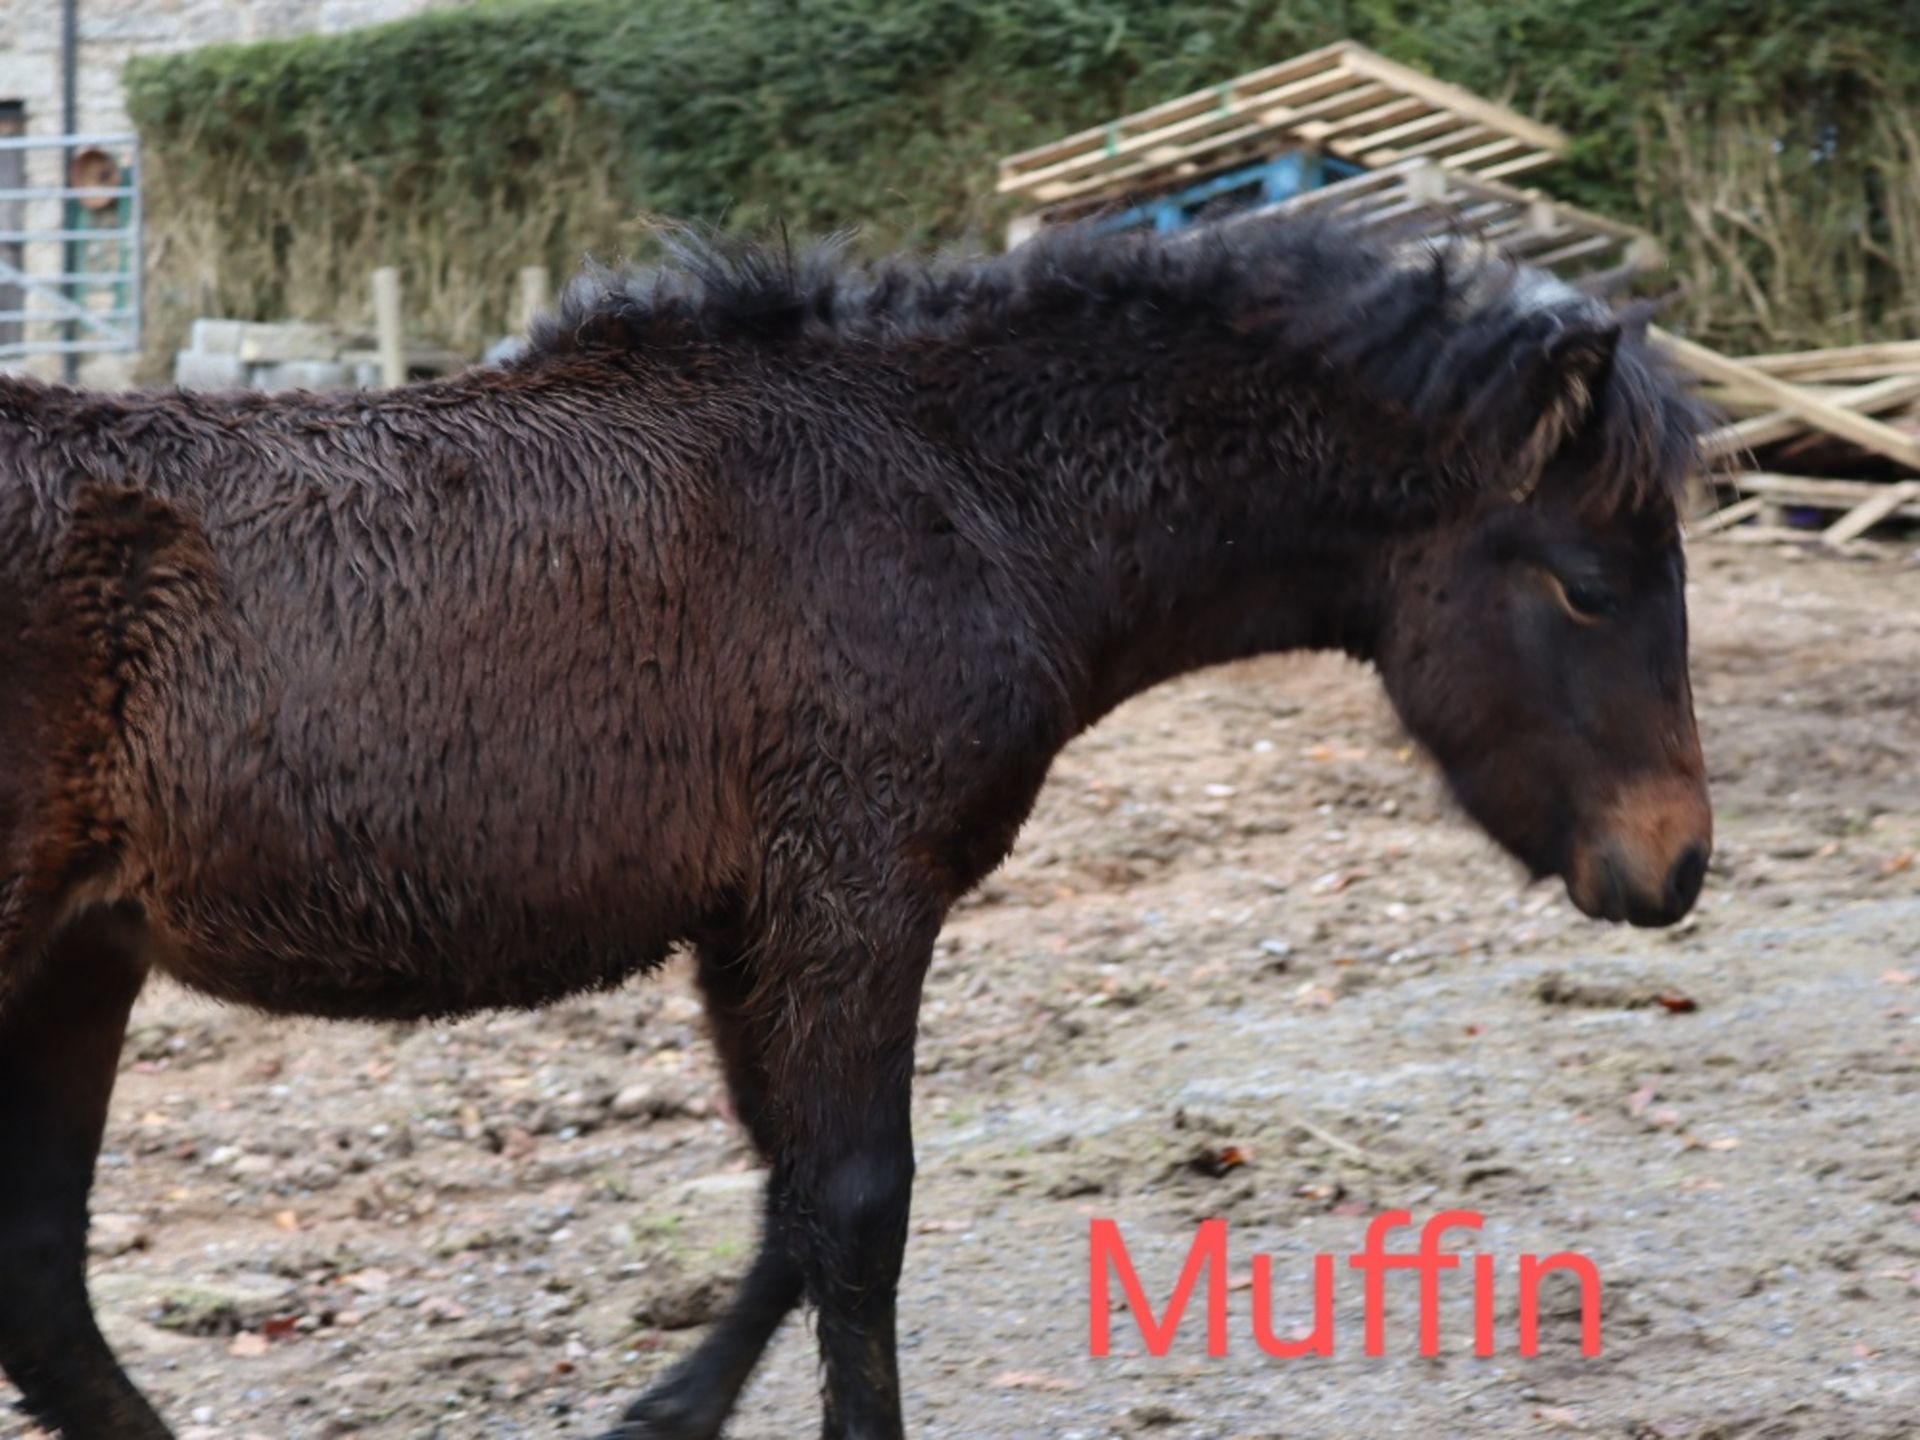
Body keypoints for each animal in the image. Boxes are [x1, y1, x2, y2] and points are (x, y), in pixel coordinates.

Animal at [0, 216, 1712, 1440]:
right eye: (1586, 586)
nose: (1678, 862)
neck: (951, 491)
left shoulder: (752, 919)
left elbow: (791, 1197)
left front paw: (663, 1416)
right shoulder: (857, 891)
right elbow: (859, 1205)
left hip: (81, 967)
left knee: (46, 1294)